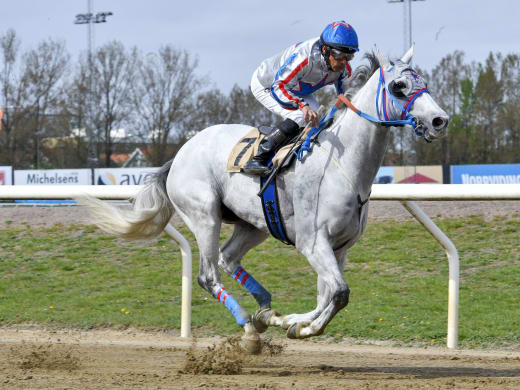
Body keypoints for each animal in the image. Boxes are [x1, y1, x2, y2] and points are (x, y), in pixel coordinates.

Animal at [81, 47, 446, 352]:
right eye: (399, 86)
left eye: (424, 82)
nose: (440, 120)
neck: (343, 166)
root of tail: (180, 153)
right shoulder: (313, 242)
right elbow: (340, 293)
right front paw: (303, 326)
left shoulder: (340, 247)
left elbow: (329, 294)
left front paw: (294, 322)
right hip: (205, 215)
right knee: (208, 275)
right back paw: (248, 325)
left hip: (253, 224)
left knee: (228, 258)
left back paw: (266, 314)